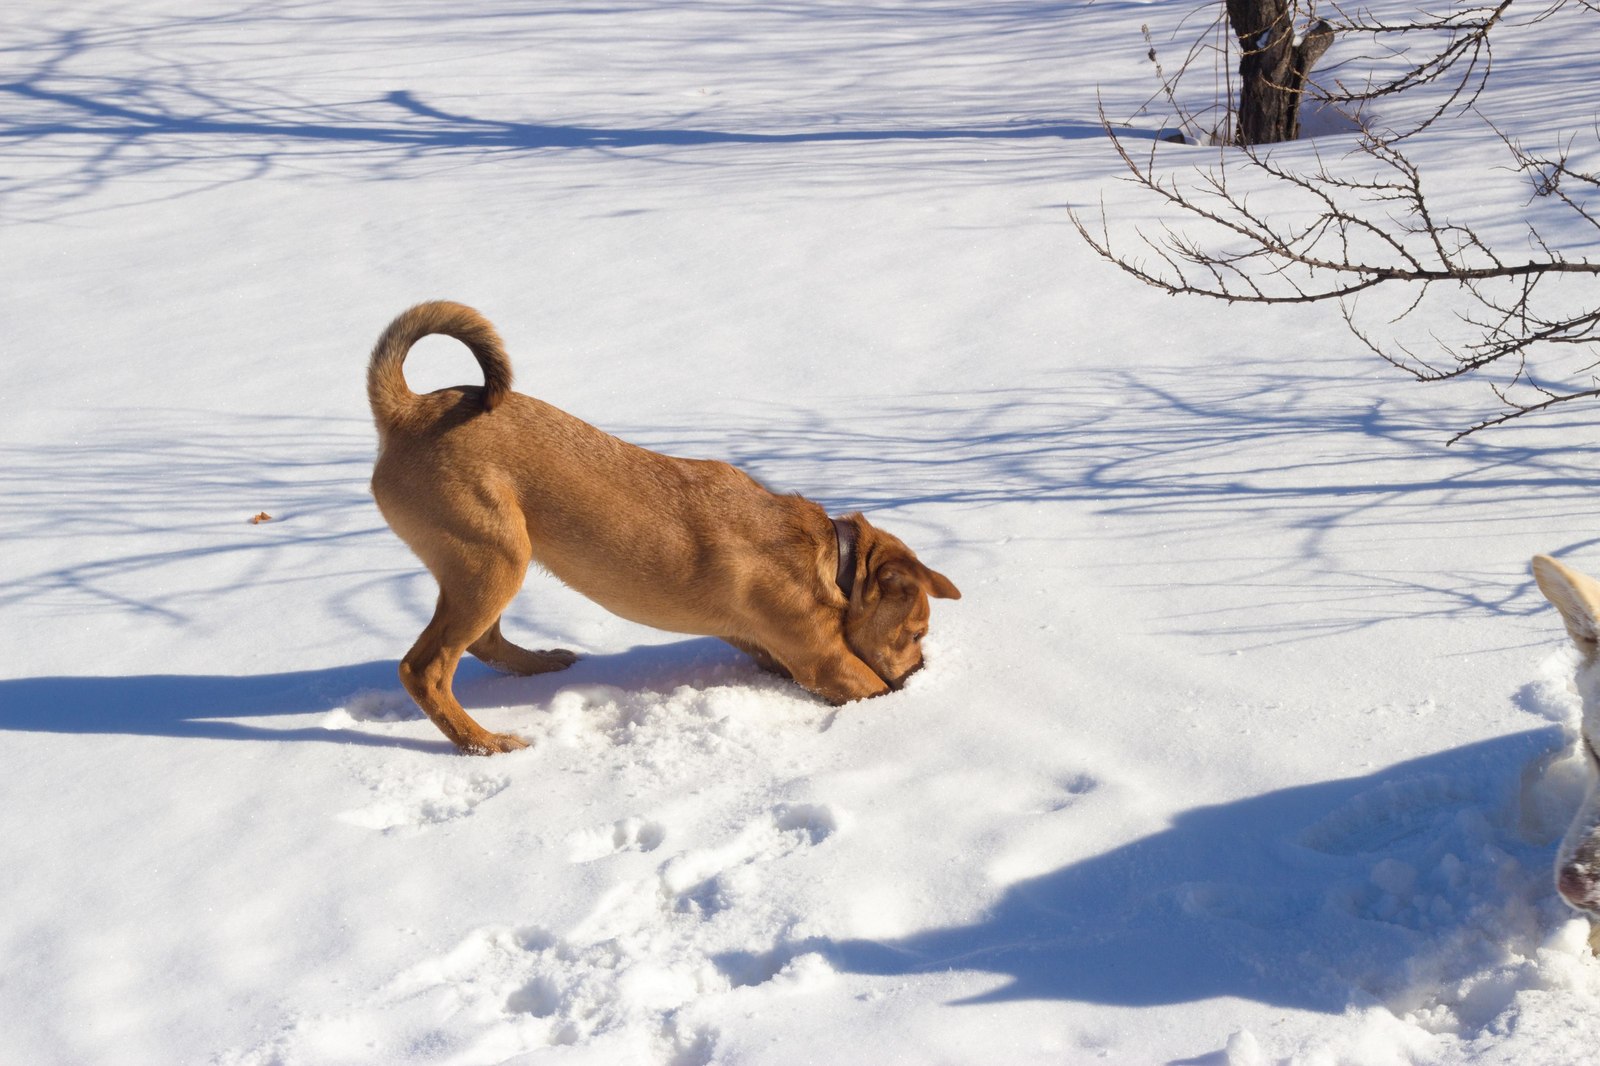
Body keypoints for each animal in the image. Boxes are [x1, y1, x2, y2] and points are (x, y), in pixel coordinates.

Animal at [368, 299, 953, 752]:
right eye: (915, 632)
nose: (923, 670)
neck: (833, 562)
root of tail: (406, 412)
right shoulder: (824, 659)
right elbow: (872, 684)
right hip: (494, 558)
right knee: (425, 669)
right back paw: (484, 744)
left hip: (490, 564)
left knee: (483, 643)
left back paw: (540, 666)